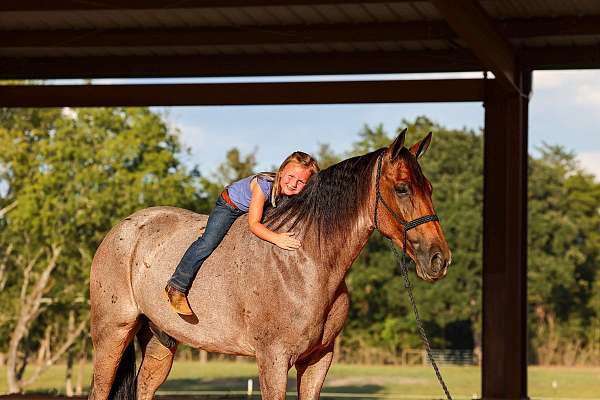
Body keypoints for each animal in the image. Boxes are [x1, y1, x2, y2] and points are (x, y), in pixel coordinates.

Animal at [89, 131, 450, 400]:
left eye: (431, 189)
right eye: (402, 188)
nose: (439, 259)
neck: (305, 262)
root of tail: (123, 229)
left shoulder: (318, 360)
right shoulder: (273, 361)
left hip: (160, 339)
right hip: (112, 333)